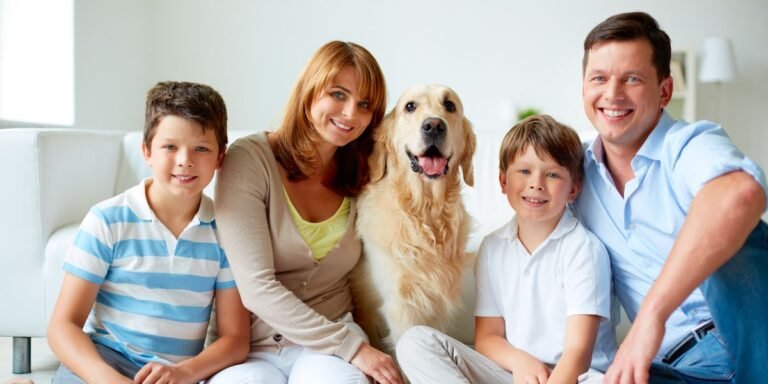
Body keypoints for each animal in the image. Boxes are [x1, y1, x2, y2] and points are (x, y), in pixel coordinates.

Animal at [352, 84, 474, 348]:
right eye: (410, 106)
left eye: (449, 105)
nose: (434, 126)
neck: (425, 211)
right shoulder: (402, 307)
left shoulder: (436, 305)